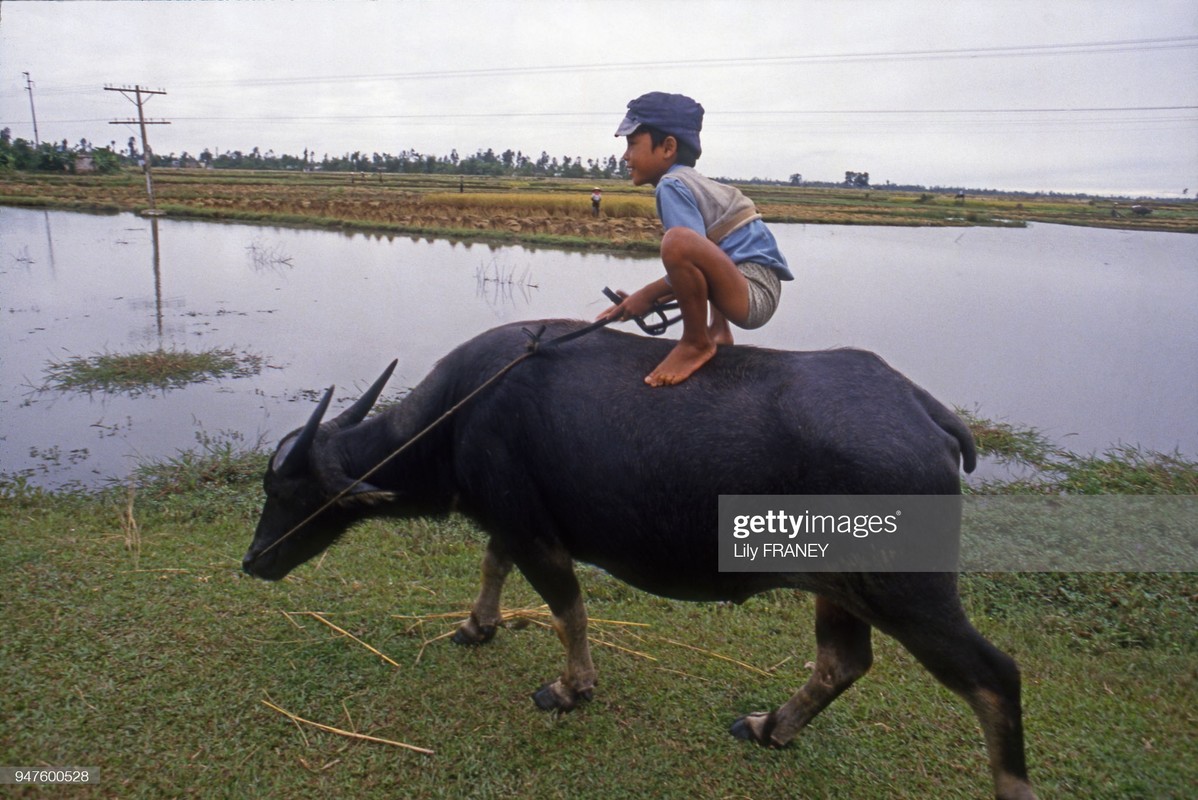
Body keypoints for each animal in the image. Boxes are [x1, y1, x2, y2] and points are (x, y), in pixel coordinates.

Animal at [245, 320, 1039, 800]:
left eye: (283, 490)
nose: (255, 561)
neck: (460, 415)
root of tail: (926, 412)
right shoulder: (514, 521)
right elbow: (492, 568)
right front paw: (477, 626)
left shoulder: (536, 535)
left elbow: (566, 610)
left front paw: (570, 689)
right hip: (840, 587)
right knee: (843, 661)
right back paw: (769, 728)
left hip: (909, 590)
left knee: (993, 677)